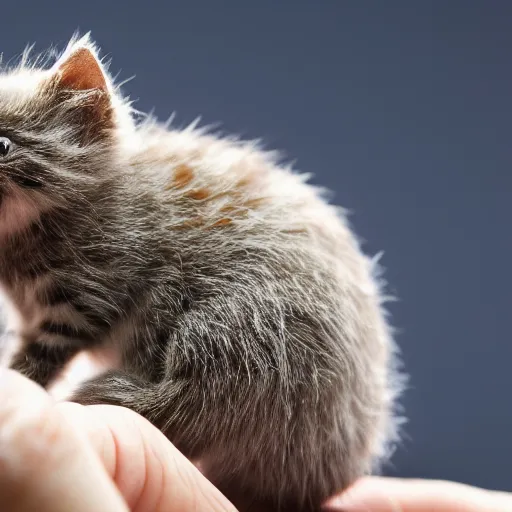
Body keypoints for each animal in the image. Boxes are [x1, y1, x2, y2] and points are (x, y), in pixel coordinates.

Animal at [0, 34, 402, 510]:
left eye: (2, 145)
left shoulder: (88, 294)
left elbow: (43, 355)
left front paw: (19, 380)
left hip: (236, 323)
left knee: (195, 404)